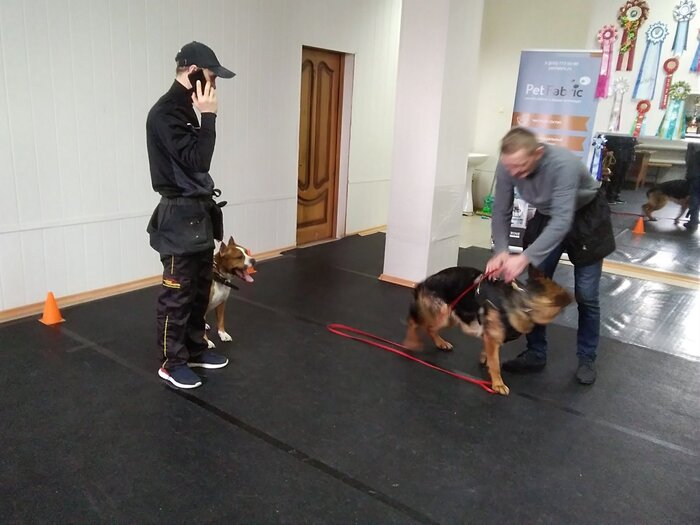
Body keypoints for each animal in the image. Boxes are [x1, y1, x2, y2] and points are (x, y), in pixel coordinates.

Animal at [402, 267, 572, 395]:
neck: (523, 303)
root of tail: (424, 282)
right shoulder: (492, 339)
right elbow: (496, 364)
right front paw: (498, 384)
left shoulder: (490, 337)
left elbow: (489, 355)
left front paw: (485, 362)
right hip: (442, 314)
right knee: (414, 322)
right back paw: (411, 342)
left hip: (451, 317)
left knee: (430, 328)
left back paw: (440, 343)